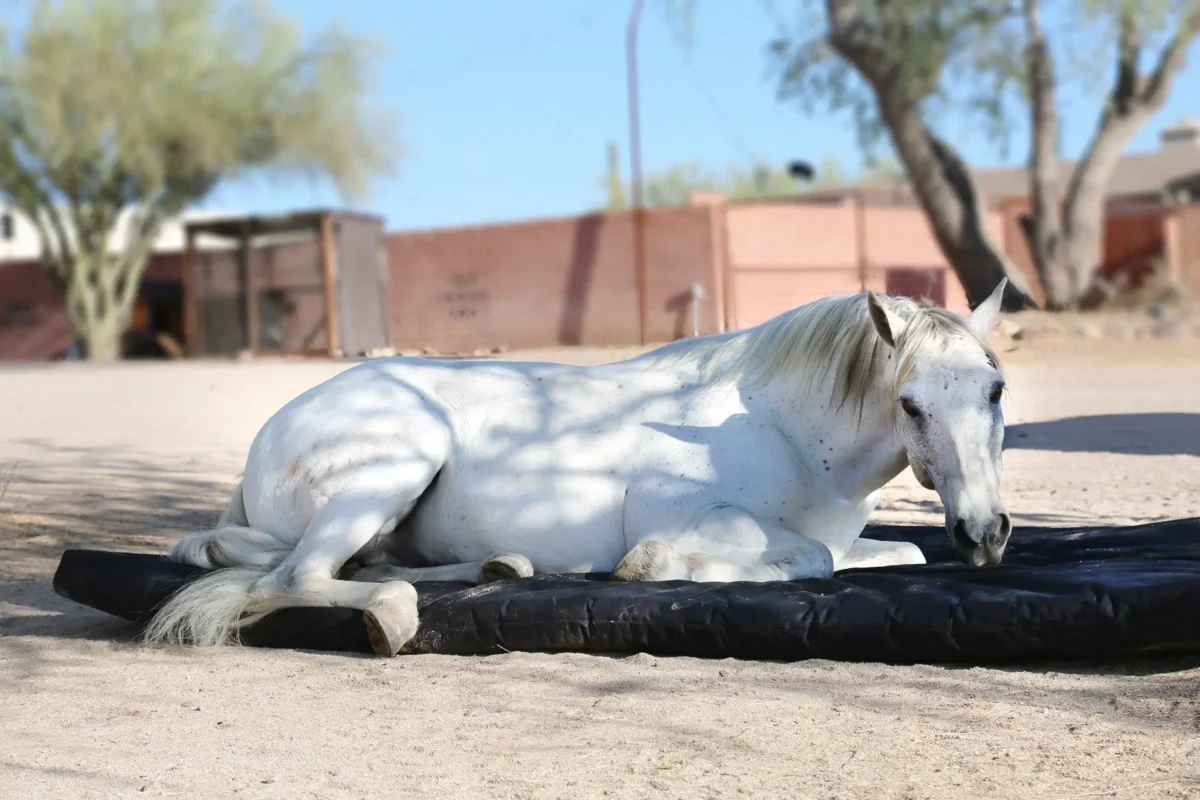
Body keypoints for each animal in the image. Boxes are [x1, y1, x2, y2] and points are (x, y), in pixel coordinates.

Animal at [145, 280, 1012, 657]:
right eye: (910, 405)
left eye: (995, 389)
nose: (986, 531)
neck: (784, 427)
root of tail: (272, 432)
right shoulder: (699, 517)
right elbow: (806, 560)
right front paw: (653, 568)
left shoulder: (863, 538)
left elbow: (896, 552)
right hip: (397, 461)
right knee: (297, 577)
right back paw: (391, 615)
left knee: (359, 563)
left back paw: (495, 567)